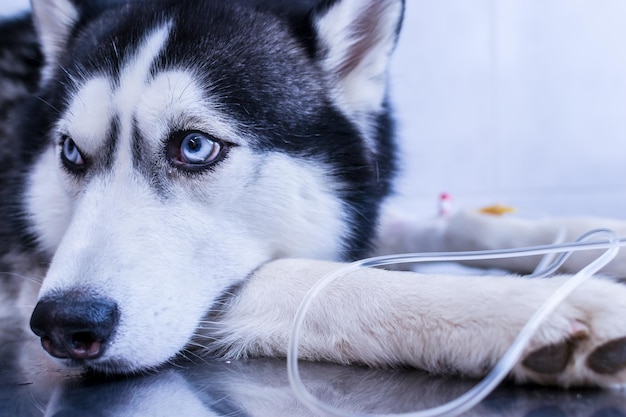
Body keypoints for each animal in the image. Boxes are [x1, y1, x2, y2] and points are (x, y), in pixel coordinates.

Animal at [3, 0, 624, 386]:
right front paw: (535, 308)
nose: (63, 324)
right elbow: (313, 279)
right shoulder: (26, 281)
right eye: (71, 153)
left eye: (194, 147)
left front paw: (595, 238)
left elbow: (459, 222)